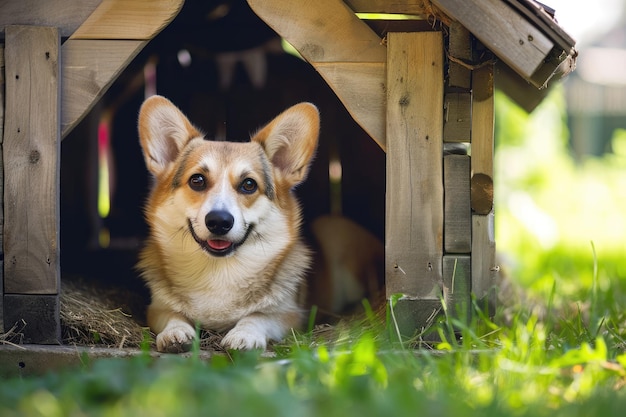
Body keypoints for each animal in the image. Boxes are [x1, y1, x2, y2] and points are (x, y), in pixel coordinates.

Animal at [136, 95, 316, 352]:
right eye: (197, 180)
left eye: (249, 184)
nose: (219, 222)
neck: (218, 272)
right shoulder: (157, 308)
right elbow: (173, 315)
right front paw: (175, 332)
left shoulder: (290, 315)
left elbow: (258, 316)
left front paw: (244, 335)